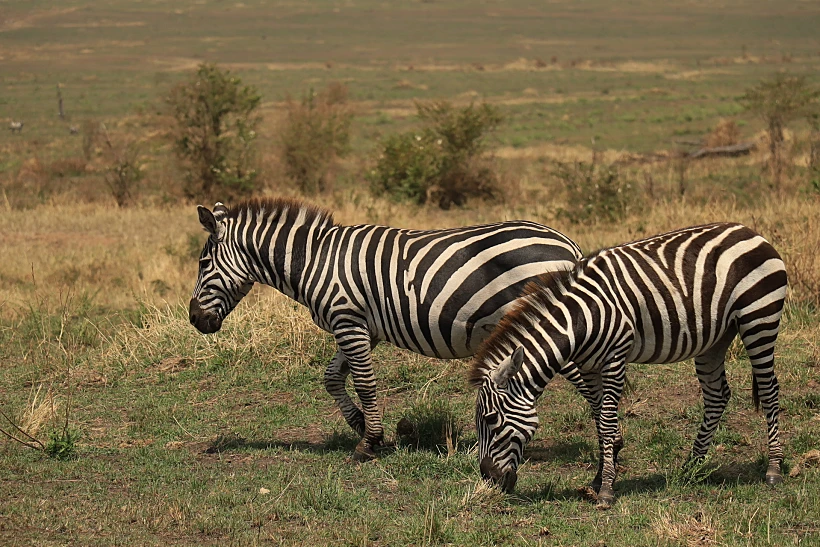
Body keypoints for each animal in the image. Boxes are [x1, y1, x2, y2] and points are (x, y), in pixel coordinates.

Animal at [187, 199, 584, 460]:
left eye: (203, 263)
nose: (193, 319)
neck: (314, 261)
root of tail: (567, 243)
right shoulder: (363, 327)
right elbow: (332, 378)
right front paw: (361, 425)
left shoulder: (348, 319)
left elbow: (364, 382)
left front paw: (369, 442)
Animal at [468, 223, 788, 510]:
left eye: (491, 419)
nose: (489, 479)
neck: (581, 320)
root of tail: (749, 231)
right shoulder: (588, 366)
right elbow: (599, 420)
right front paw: (598, 479)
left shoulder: (615, 358)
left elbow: (608, 421)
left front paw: (607, 490)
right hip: (715, 339)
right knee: (717, 396)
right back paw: (692, 466)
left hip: (759, 318)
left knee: (769, 390)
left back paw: (773, 468)